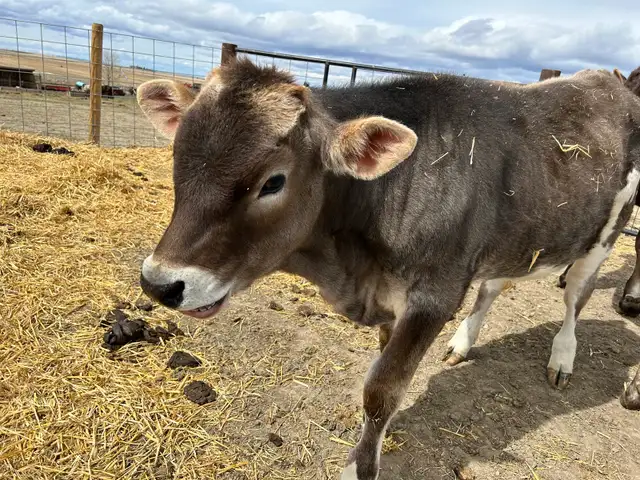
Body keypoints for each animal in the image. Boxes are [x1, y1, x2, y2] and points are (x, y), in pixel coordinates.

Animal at [135, 58, 640, 479]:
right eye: (178, 156)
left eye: (273, 182)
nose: (160, 283)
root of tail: (608, 80)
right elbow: (382, 370)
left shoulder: (433, 299)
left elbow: (382, 389)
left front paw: (361, 463)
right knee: (493, 286)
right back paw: (464, 342)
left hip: (605, 235)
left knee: (576, 297)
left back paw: (563, 356)